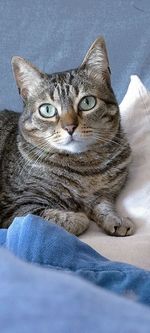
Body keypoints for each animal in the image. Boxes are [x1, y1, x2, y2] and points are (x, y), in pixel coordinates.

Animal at [0, 36, 134, 235]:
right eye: (47, 110)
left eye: (87, 102)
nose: (70, 127)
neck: (86, 169)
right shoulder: (15, 207)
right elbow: (57, 217)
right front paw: (77, 216)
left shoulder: (105, 194)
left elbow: (104, 206)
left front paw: (116, 218)